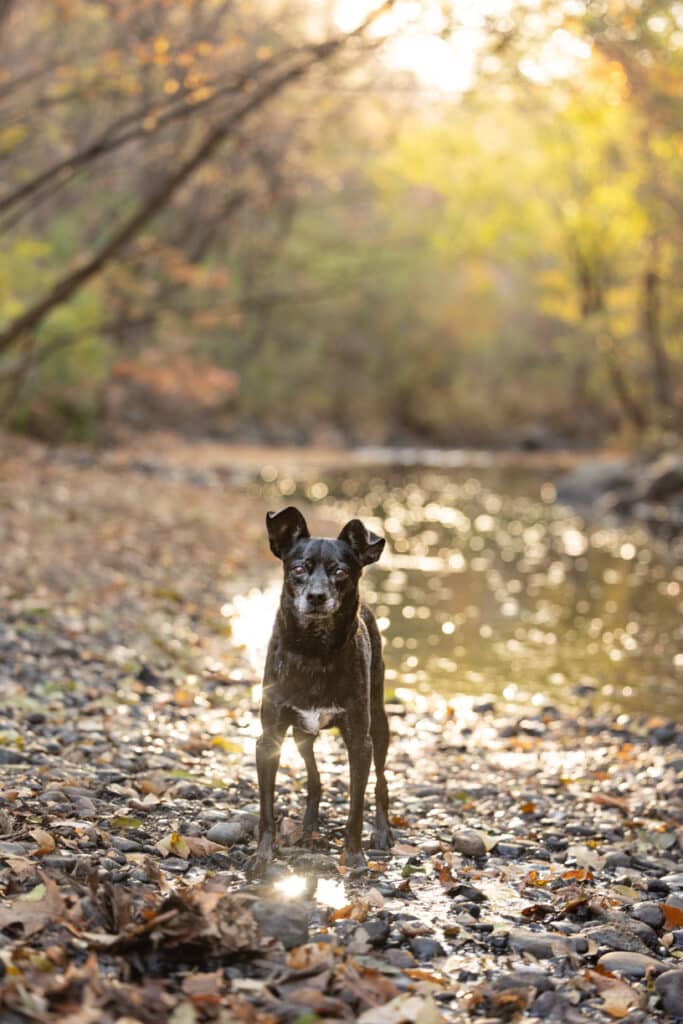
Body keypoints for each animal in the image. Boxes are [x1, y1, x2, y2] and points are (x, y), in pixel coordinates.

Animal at [249, 503, 389, 872]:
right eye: (298, 569)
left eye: (340, 572)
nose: (316, 596)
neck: (315, 651)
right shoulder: (268, 740)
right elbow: (266, 810)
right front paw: (263, 855)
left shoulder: (360, 743)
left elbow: (356, 808)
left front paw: (353, 856)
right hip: (301, 736)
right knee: (314, 779)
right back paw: (310, 825)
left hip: (379, 724)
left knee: (381, 782)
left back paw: (383, 831)